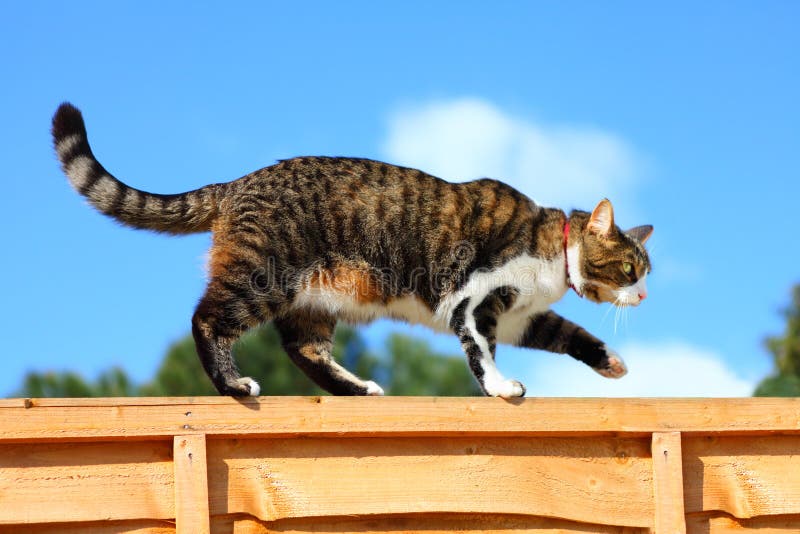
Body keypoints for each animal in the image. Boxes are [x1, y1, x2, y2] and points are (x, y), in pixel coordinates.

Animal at [50, 103, 652, 398]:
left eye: (646, 272)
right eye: (631, 268)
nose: (644, 296)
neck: (553, 251)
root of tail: (238, 182)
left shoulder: (520, 315)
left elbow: (569, 332)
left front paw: (612, 362)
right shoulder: (475, 300)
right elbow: (482, 353)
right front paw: (503, 389)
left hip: (313, 300)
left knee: (303, 349)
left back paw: (357, 388)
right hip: (264, 277)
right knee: (207, 319)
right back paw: (233, 384)